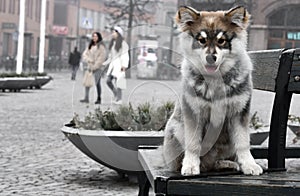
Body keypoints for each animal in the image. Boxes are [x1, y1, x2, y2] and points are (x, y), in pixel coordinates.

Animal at [163, 6, 264, 175]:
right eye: (201, 40)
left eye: (221, 40)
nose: (211, 58)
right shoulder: (194, 114)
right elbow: (193, 144)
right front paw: (190, 165)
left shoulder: (239, 113)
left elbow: (243, 143)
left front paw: (249, 165)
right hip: (176, 129)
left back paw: (227, 163)